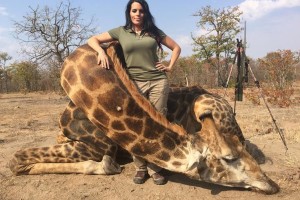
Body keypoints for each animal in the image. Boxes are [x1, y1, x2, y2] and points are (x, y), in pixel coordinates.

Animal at [9, 42, 278, 194]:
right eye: (228, 158)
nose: (272, 185)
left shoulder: (97, 146)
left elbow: (16, 159)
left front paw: (107, 165)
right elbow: (16, 159)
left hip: (208, 106)